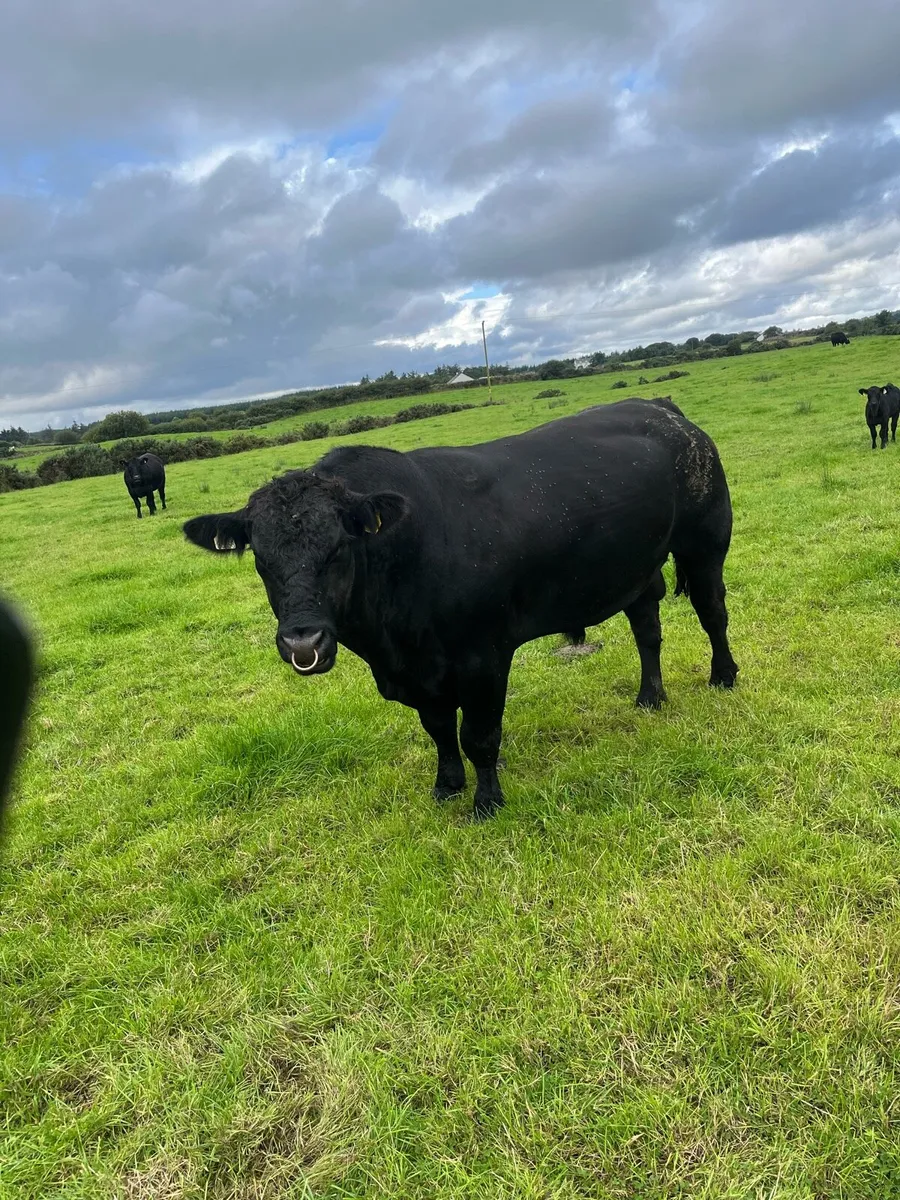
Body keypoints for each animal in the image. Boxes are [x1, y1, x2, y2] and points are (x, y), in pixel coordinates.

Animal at [183, 398, 739, 820]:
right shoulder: (421, 671)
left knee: (712, 612)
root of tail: (661, 408)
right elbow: (438, 729)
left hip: (705, 541)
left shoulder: (484, 658)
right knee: (647, 628)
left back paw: (723, 676)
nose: (303, 641)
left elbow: (478, 735)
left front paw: (486, 801)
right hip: (636, 570)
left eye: (338, 547)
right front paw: (446, 785)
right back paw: (649, 697)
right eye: (261, 558)